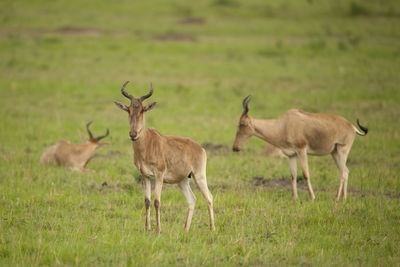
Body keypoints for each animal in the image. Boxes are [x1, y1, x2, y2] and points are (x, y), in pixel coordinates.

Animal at [115, 81, 216, 234]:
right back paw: (185, 229)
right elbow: (147, 201)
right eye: (128, 109)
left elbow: (157, 201)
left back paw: (212, 228)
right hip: (182, 180)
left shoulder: (159, 175)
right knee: (192, 200)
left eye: (143, 110)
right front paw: (147, 228)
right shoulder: (145, 175)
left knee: (209, 197)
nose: (133, 134)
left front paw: (158, 231)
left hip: (199, 175)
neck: (147, 143)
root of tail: (200, 148)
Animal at [233, 95, 368, 202]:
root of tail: (352, 126)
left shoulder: (301, 150)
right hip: (334, 152)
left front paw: (312, 198)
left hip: (342, 151)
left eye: (242, 124)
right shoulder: (291, 155)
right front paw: (295, 198)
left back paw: (336, 198)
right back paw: (344, 199)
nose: (235, 148)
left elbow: (305, 173)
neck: (284, 124)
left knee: (342, 172)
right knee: (346, 171)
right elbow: (293, 175)